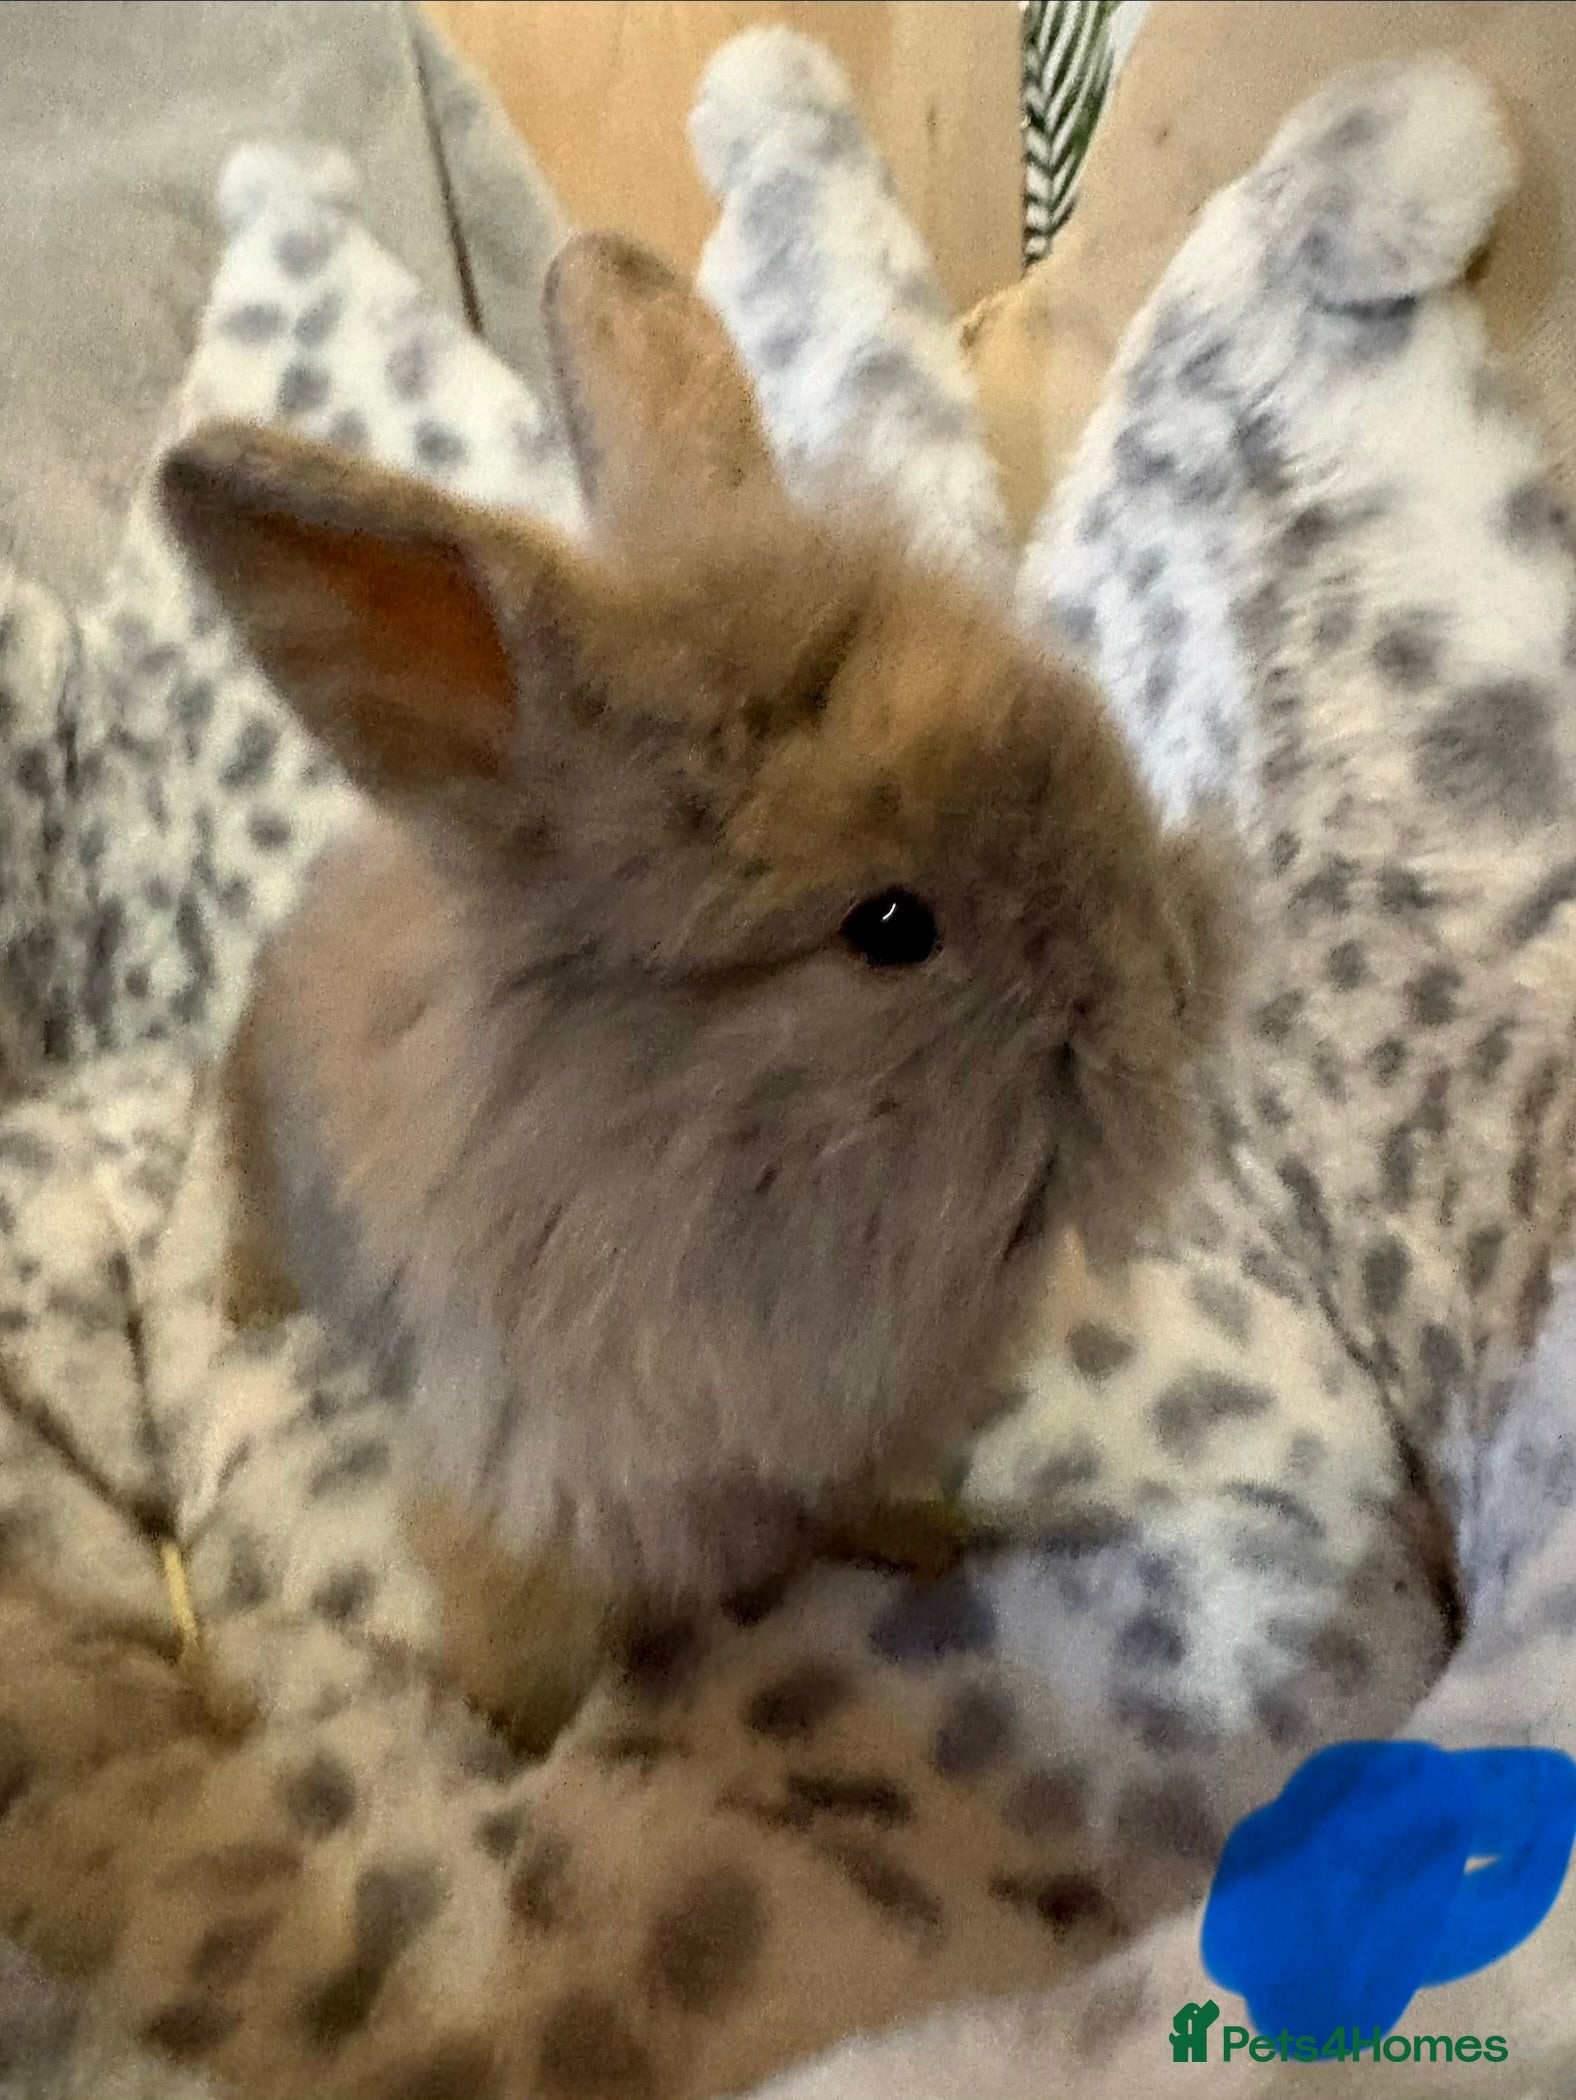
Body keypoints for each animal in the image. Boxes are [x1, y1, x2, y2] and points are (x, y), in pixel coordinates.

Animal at [158, 232, 1238, 1750]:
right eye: (890, 927)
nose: (1174, 1003)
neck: (725, 1163)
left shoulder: (852, 1429)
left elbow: (859, 1495)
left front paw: (926, 1540)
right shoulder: (528, 1483)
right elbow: (521, 1626)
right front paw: (518, 1746)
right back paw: (251, 1310)